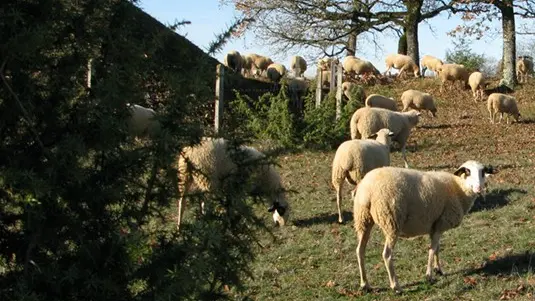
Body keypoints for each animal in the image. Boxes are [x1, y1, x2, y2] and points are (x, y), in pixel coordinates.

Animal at [354, 161, 496, 292]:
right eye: (467, 172)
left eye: (483, 172)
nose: (479, 188)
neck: (458, 188)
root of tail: (368, 190)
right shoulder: (440, 223)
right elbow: (432, 250)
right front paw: (429, 275)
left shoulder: (436, 225)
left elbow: (437, 248)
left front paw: (438, 269)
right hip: (391, 221)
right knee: (387, 255)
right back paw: (396, 287)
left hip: (363, 219)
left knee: (360, 251)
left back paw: (365, 284)